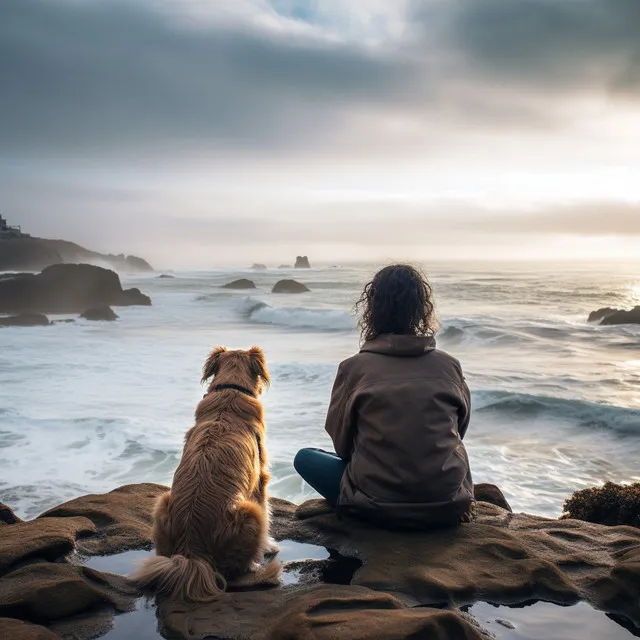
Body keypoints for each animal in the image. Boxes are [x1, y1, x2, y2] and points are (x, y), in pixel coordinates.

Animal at [131, 344, 280, 600]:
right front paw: (269, 545)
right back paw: (254, 564)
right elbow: (266, 508)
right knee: (236, 564)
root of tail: (192, 553)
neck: (231, 389)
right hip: (248, 512)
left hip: (163, 502)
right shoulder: (260, 479)